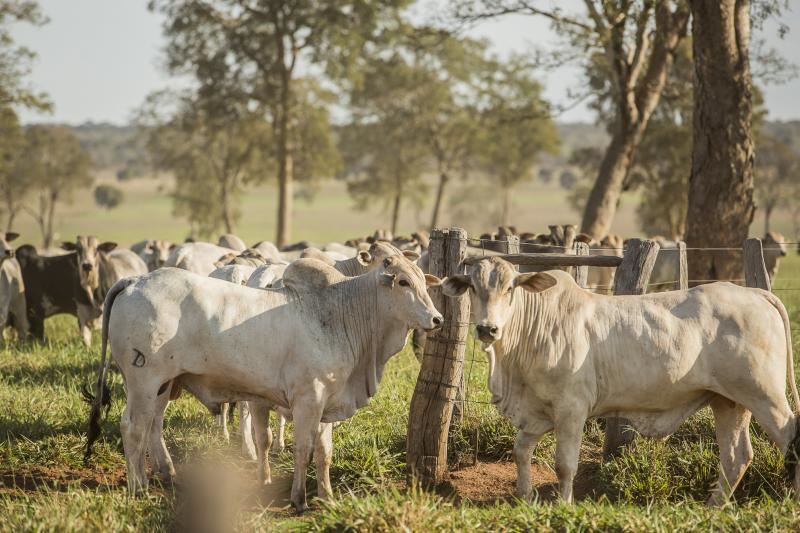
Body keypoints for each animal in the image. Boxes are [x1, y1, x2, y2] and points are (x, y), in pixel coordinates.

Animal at [83, 251, 440, 510]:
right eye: (403, 282)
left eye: (424, 282)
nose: (437, 318)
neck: (341, 313)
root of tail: (136, 279)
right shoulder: (308, 399)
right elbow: (303, 449)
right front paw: (299, 499)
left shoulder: (327, 402)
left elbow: (323, 452)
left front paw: (327, 496)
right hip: (143, 382)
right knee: (133, 428)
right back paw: (138, 487)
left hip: (163, 385)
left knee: (152, 427)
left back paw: (166, 476)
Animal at [440, 260, 800, 504]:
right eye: (473, 288)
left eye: (510, 288)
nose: (487, 329)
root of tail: (755, 293)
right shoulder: (536, 412)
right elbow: (521, 451)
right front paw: (525, 497)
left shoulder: (571, 409)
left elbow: (564, 464)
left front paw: (563, 504)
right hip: (728, 401)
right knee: (736, 457)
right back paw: (713, 507)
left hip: (765, 396)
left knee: (788, 437)